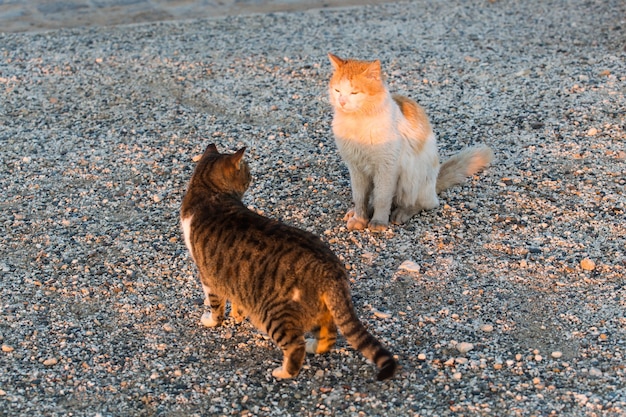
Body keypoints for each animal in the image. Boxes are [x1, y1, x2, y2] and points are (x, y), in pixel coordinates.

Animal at [178, 144, 398, 380]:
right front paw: (237, 314)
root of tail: (330, 268)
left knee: (295, 345)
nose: (252, 176)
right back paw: (313, 346)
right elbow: (234, 298)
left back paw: (283, 372)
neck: (209, 192)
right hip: (319, 308)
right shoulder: (230, 277)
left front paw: (212, 320)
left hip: (275, 313)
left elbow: (215, 305)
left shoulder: (207, 275)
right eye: (247, 171)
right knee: (328, 336)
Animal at [326, 52, 492, 231]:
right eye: (337, 90)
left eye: (354, 93)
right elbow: (360, 198)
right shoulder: (355, 167)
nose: (342, 102)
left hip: (411, 176)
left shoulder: (386, 167)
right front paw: (359, 218)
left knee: (424, 203)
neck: (357, 122)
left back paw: (401, 213)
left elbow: (382, 198)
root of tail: (434, 183)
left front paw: (378, 222)